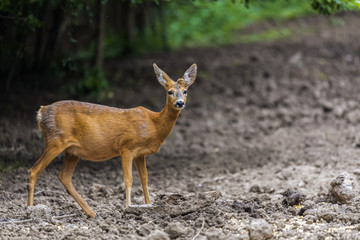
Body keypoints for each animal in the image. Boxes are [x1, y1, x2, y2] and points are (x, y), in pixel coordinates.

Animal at [27, 63, 197, 218]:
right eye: (170, 92)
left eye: (185, 91)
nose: (180, 103)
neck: (153, 125)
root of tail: (41, 112)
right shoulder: (126, 147)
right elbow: (128, 179)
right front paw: (128, 208)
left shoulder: (141, 154)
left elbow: (145, 179)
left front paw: (148, 205)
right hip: (55, 140)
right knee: (34, 170)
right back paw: (29, 210)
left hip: (72, 151)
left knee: (64, 177)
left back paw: (91, 213)